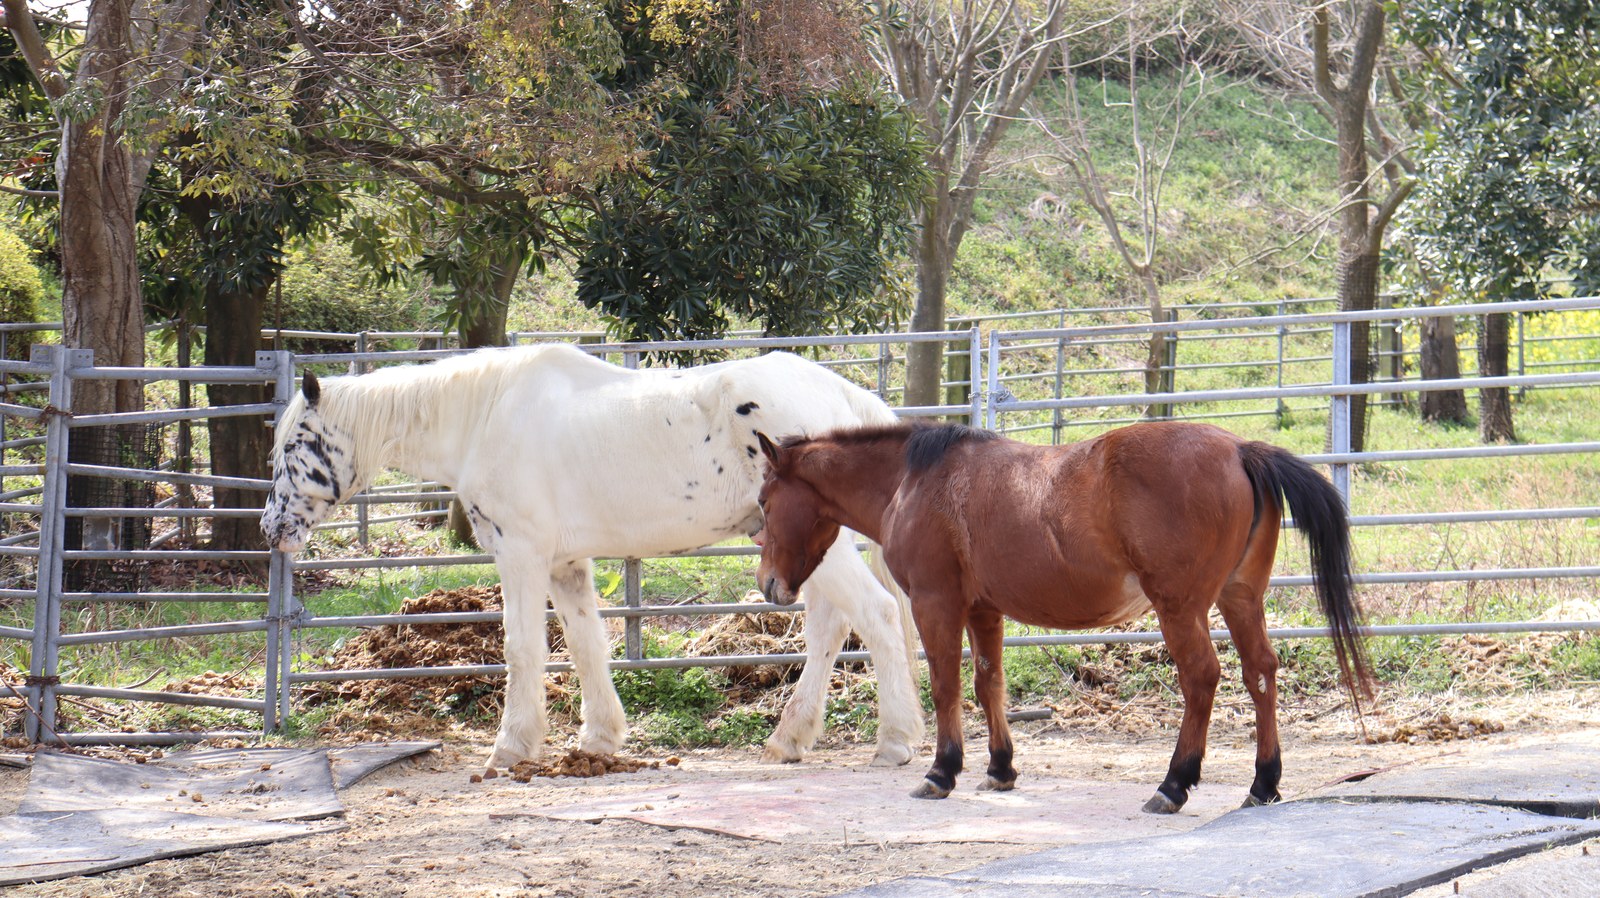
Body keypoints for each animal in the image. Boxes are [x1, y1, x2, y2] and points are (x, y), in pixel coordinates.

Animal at [260, 343, 924, 769]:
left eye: (293, 446)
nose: (272, 528)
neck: (485, 416)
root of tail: (844, 394)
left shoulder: (521, 556)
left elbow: (522, 649)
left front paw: (512, 746)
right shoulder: (564, 565)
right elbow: (584, 646)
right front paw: (599, 738)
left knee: (877, 616)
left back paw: (894, 741)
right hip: (807, 549)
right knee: (831, 628)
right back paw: (791, 738)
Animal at [753, 420, 1373, 813]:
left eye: (764, 501)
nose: (769, 586)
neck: (916, 480)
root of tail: (1240, 449)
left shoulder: (938, 603)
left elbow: (947, 686)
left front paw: (942, 771)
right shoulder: (984, 610)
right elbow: (989, 683)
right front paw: (1000, 768)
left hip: (1180, 608)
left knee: (1202, 677)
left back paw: (1174, 784)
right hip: (1240, 597)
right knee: (1260, 672)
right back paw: (1263, 783)